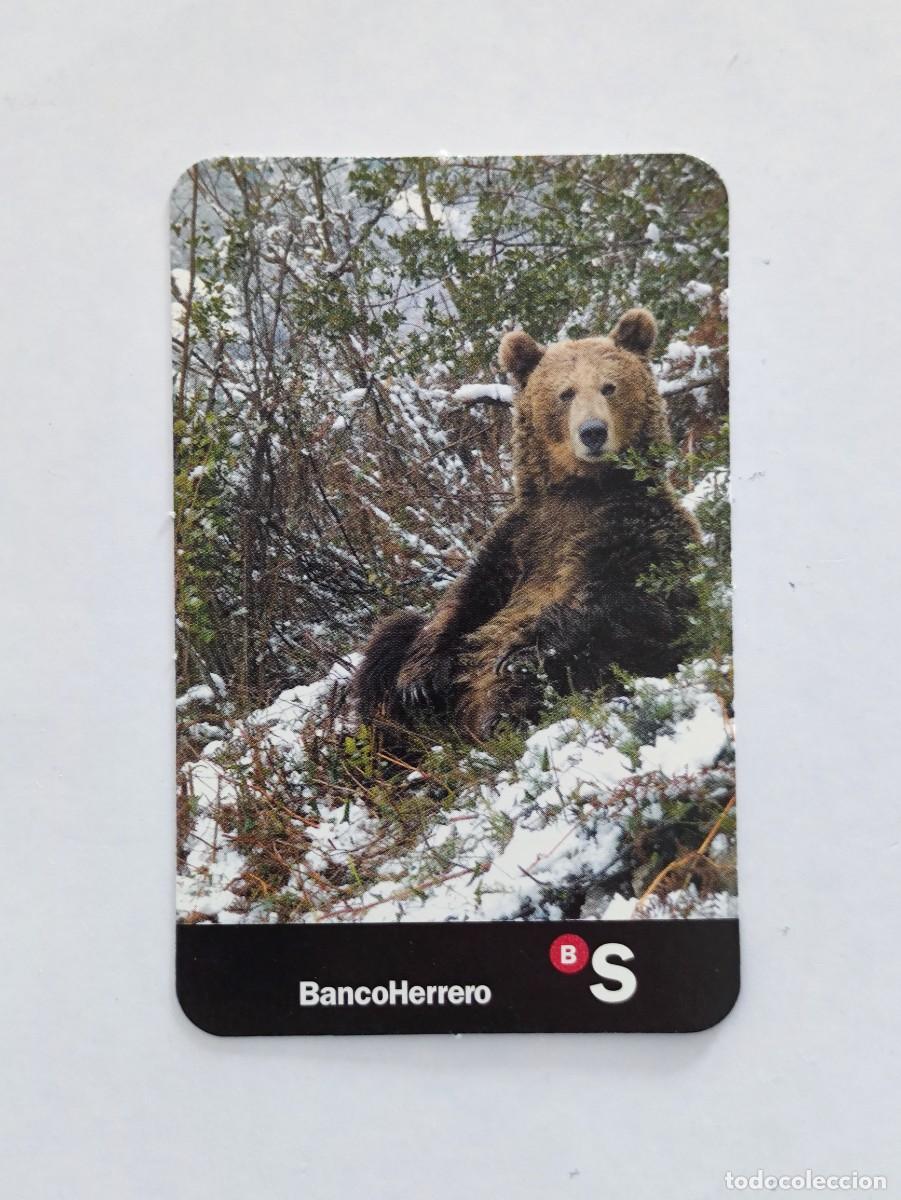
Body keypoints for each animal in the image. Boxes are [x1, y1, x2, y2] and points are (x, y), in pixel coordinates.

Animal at [352, 307, 700, 741]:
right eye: (565, 393)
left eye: (609, 386)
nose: (593, 432)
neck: (584, 489)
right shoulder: (521, 537)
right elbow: (464, 600)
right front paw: (418, 680)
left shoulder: (639, 529)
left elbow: (635, 606)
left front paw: (521, 652)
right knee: (392, 636)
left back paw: (498, 718)